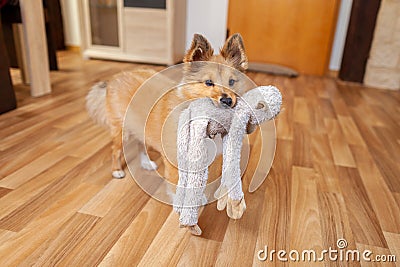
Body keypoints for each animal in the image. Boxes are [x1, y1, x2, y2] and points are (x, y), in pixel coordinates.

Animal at [86, 32, 248, 181]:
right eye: (208, 83)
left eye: (231, 82)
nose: (227, 100)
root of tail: (115, 77)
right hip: (121, 131)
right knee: (115, 150)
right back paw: (116, 170)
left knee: (141, 144)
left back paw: (146, 163)